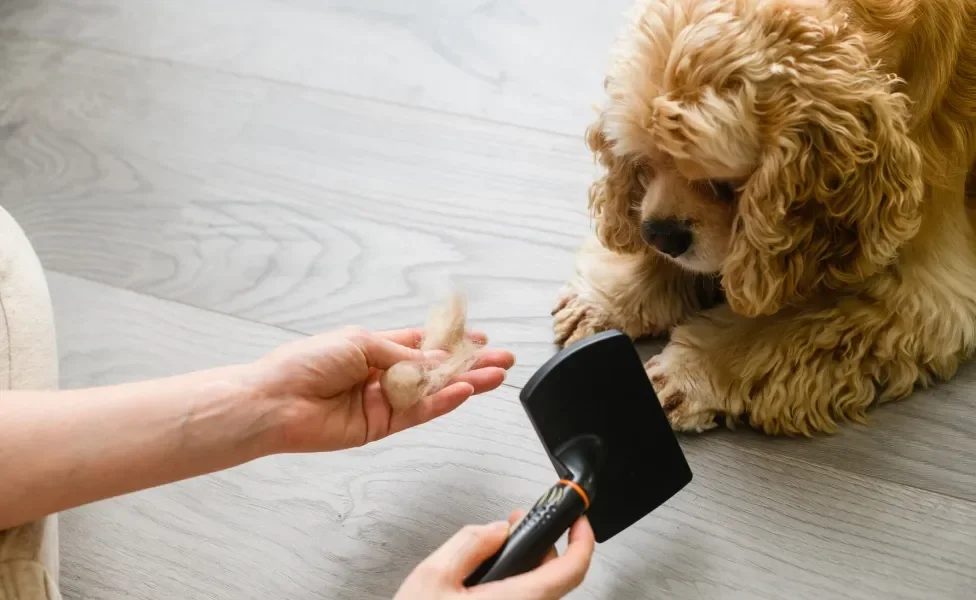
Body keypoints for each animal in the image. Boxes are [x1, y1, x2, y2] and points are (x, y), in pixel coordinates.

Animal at [548, 0, 976, 434]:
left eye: (723, 183)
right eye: (645, 160)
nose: (659, 235)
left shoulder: (922, 294)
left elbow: (778, 325)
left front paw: (688, 372)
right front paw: (609, 297)